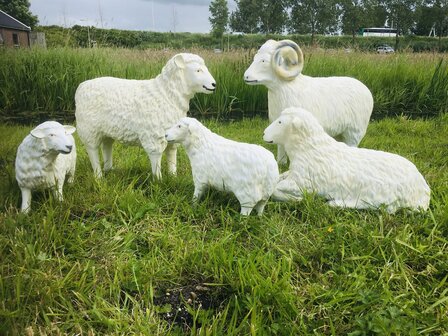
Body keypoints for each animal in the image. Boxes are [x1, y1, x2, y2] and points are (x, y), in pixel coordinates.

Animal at [76, 52, 216, 180]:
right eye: (198, 70)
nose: (214, 85)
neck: (166, 94)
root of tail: (82, 86)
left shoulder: (173, 132)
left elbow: (171, 153)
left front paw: (173, 177)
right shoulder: (154, 135)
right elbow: (156, 156)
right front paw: (158, 180)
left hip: (107, 129)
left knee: (106, 146)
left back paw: (109, 170)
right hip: (89, 129)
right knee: (92, 149)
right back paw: (99, 176)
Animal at [243, 39, 372, 164]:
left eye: (264, 61)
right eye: (255, 57)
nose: (246, 77)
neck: (287, 89)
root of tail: (365, 88)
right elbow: (280, 145)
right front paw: (281, 163)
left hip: (354, 132)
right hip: (340, 133)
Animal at [262, 107, 430, 213]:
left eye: (280, 122)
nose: (263, 133)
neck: (309, 149)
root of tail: (423, 189)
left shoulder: (304, 183)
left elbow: (276, 189)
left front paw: (296, 199)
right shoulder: (295, 174)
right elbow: (280, 178)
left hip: (379, 192)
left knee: (382, 207)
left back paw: (335, 203)